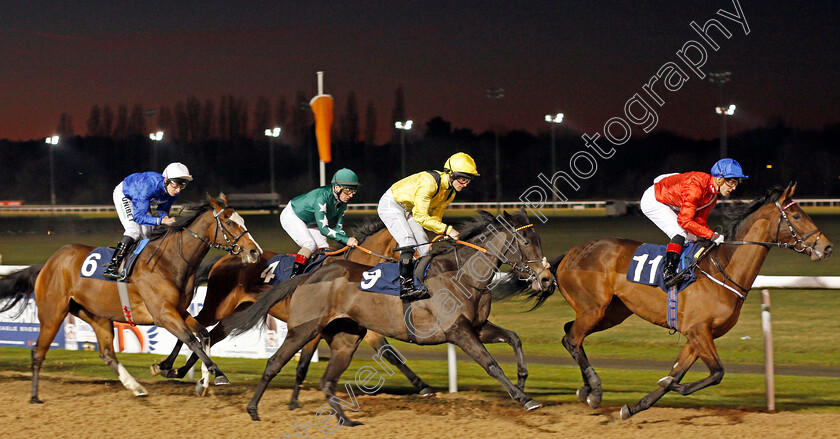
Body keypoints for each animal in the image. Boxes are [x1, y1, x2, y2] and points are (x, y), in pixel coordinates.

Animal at [0, 194, 260, 404]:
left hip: (96, 315)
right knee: (38, 351)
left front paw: (200, 379)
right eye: (229, 222)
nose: (254, 251)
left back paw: (136, 387)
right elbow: (190, 339)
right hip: (53, 313)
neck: (170, 261)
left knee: (107, 353)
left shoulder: (178, 310)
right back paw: (35, 397)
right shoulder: (163, 315)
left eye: (243, 220)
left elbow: (202, 335)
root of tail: (47, 264)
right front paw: (216, 373)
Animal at [153, 218, 440, 404]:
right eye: (414, 245)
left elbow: (390, 354)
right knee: (191, 324)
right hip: (216, 305)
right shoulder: (319, 327)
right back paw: (168, 366)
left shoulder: (360, 326)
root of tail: (228, 256)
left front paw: (424, 387)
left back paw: (194, 376)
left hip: (236, 311)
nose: (425, 270)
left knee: (210, 335)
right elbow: (303, 365)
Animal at [225, 211, 556, 424]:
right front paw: (524, 398)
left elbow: (514, 338)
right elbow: (491, 364)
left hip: (345, 338)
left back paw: (345, 420)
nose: (547, 280)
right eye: (526, 241)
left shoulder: (478, 327)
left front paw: (523, 380)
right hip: (303, 329)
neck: (462, 274)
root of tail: (309, 275)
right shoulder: (459, 332)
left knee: (326, 380)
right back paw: (253, 409)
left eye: (538, 239)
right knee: (274, 362)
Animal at [548, 185, 832, 420]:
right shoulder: (698, 330)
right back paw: (595, 390)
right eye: (796, 215)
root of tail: (571, 252)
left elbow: (678, 372)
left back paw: (585, 389)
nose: (827, 248)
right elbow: (716, 372)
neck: (724, 269)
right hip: (594, 309)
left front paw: (635, 406)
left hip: (612, 313)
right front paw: (669, 385)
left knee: (569, 334)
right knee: (572, 339)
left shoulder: (700, 335)